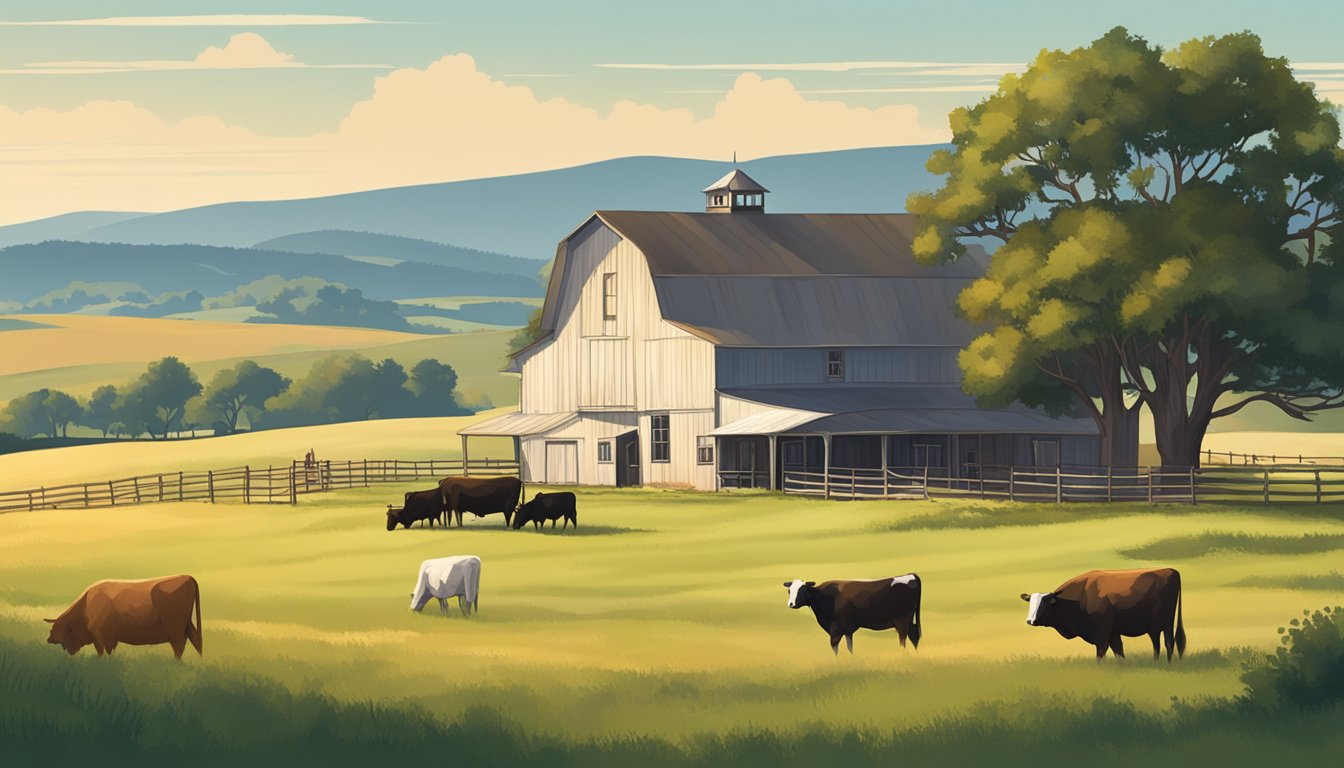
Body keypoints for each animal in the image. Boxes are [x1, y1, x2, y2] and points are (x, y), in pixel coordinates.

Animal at [43, 572, 201, 659]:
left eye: (55, 628)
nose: (49, 639)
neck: (86, 605)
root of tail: (188, 577)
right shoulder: (99, 638)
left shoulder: (104, 637)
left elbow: (105, 652)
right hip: (187, 625)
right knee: (195, 642)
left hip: (175, 629)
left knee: (179, 646)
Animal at [1016, 564, 1188, 661]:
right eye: (1030, 603)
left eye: (1046, 603)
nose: (1030, 620)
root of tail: (1171, 570)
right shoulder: (1113, 632)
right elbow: (1119, 651)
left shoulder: (1102, 633)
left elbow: (1101, 653)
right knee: (1160, 644)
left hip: (1163, 623)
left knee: (1167, 642)